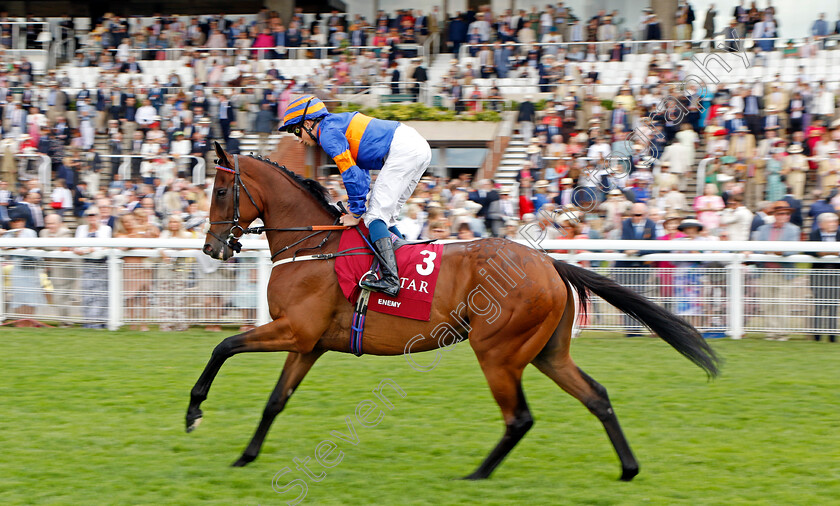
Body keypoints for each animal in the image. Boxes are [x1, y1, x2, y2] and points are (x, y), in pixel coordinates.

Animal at [187, 144, 720, 480]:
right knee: (597, 396)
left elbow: (223, 345)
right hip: (547, 352)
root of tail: (549, 262)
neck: (312, 246)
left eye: (220, 191)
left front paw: (194, 411)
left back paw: (478, 475)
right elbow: (275, 401)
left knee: (519, 417)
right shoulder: (308, 343)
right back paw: (628, 468)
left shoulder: (293, 330)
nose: (213, 248)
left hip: (498, 351)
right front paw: (246, 456)